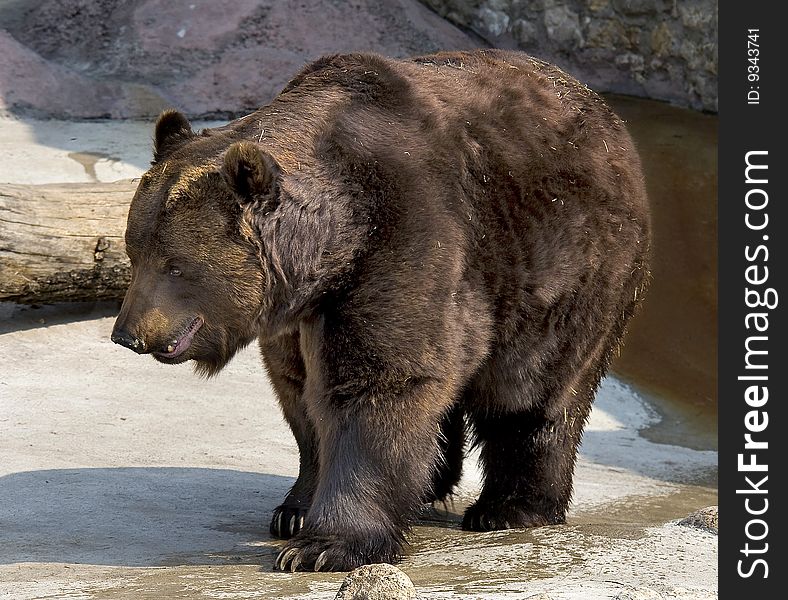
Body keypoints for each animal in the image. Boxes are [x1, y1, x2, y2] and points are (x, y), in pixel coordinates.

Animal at [112, 49, 652, 568]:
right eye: (134, 253)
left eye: (176, 265)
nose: (128, 334)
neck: (332, 245)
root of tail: (607, 116)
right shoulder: (295, 315)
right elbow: (300, 393)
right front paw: (294, 511)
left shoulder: (405, 236)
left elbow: (379, 383)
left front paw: (324, 547)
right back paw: (433, 483)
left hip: (572, 268)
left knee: (533, 390)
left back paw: (510, 508)